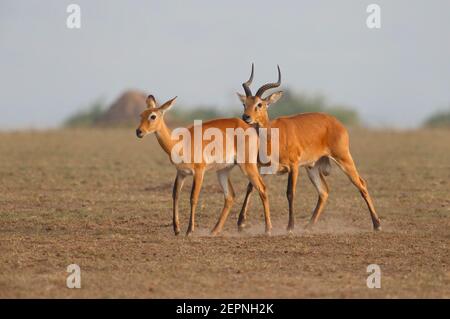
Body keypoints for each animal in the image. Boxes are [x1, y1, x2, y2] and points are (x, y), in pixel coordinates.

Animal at [135, 94, 272, 236]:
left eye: (153, 116)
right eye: (141, 115)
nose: (139, 131)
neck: (180, 143)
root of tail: (249, 128)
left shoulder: (199, 171)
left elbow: (193, 198)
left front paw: (189, 230)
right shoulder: (181, 173)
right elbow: (175, 195)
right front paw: (177, 229)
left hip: (247, 166)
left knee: (262, 188)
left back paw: (268, 230)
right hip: (223, 171)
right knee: (230, 196)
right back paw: (214, 231)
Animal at [237, 65, 382, 234]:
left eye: (259, 104)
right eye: (245, 104)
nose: (246, 117)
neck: (272, 136)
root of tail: (336, 122)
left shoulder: (293, 166)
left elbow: (290, 193)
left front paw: (290, 226)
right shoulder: (263, 167)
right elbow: (250, 187)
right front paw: (240, 223)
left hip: (343, 158)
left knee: (361, 184)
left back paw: (377, 225)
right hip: (312, 167)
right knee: (324, 191)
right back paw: (309, 225)